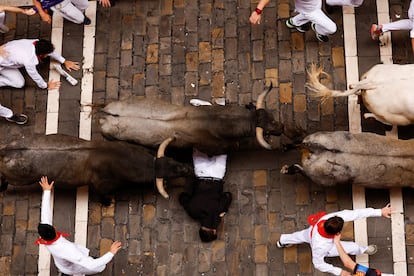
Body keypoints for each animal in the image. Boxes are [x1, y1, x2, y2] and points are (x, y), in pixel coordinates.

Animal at [0, 133, 194, 204]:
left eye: (173, 160)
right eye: (171, 173)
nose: (188, 168)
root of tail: (5, 150)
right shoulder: (101, 186)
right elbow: (102, 195)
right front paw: (107, 202)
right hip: (19, 179)